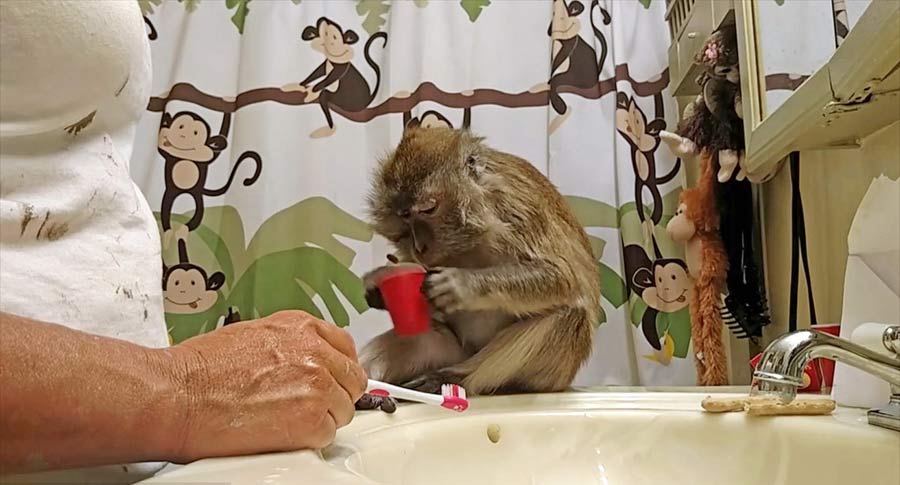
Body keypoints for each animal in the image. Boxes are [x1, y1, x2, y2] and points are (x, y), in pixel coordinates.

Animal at [157, 111, 262, 240]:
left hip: (198, 201)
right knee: (166, 215)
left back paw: (180, 232)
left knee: (192, 221)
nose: (183, 135)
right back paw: (168, 234)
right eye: (181, 126)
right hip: (170, 195)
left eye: (195, 132)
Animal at [356, 127, 600, 412]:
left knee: (571, 313)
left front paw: (461, 284)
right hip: (450, 351)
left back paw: (452, 379)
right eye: (404, 219)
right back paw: (368, 390)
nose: (419, 246)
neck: (468, 237)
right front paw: (379, 284)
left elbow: (563, 277)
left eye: (428, 209)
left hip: (551, 376)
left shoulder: (516, 207)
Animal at [530, 0, 611, 134]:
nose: (553, 28)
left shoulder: (567, 47)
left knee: (557, 84)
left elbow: (557, 63)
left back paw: (560, 109)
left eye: (569, 12)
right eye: (554, 14)